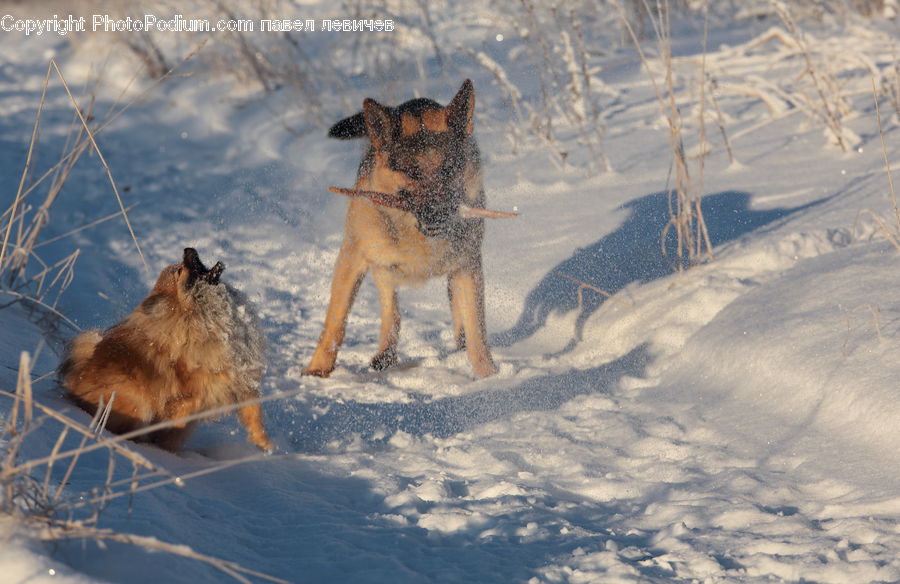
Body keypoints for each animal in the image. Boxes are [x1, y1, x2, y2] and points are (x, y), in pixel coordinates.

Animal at [59, 248, 273, 452]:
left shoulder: (241, 382)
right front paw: (169, 457)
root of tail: (72, 386)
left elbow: (254, 416)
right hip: (137, 401)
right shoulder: (188, 401)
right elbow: (172, 433)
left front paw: (266, 445)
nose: (187, 248)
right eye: (179, 270)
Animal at [306, 79, 510, 378]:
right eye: (412, 172)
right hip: (382, 269)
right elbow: (336, 319)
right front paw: (318, 367)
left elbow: (476, 329)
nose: (438, 212)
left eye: (448, 169)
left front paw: (489, 376)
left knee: (455, 314)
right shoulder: (351, 259)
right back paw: (386, 354)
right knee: (392, 311)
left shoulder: (468, 266)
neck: (416, 233)